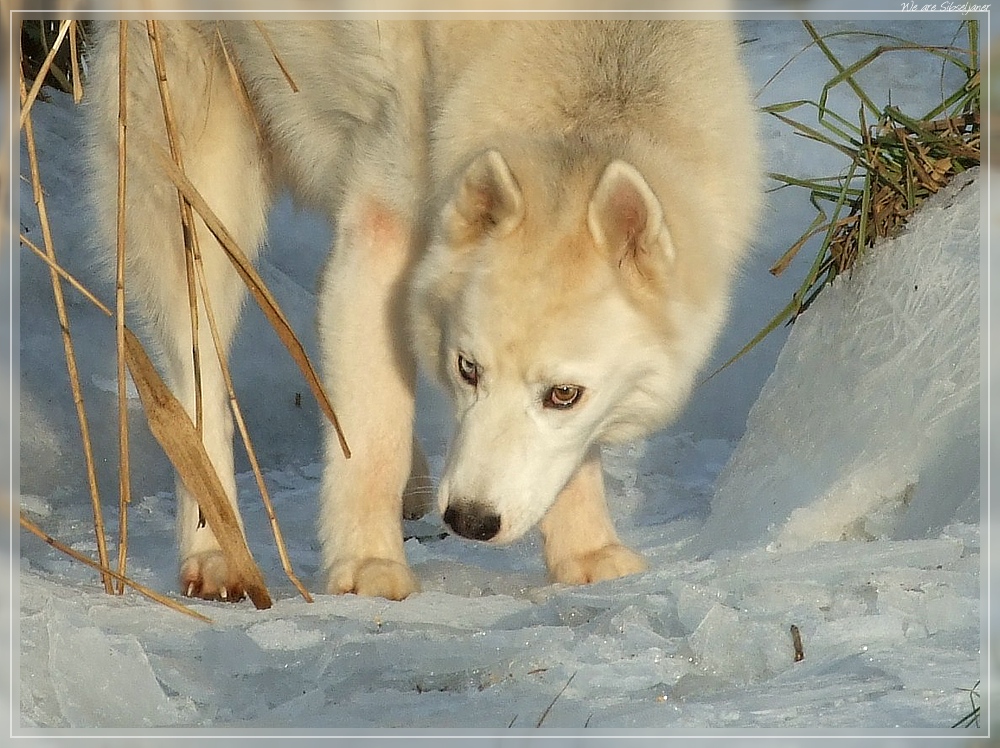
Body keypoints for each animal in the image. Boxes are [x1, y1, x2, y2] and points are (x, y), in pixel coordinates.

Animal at [86, 19, 760, 600]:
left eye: (564, 395)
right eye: (467, 369)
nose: (469, 521)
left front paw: (587, 554)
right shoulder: (383, 233)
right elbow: (370, 433)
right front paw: (366, 564)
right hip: (198, 195)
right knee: (194, 376)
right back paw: (216, 553)